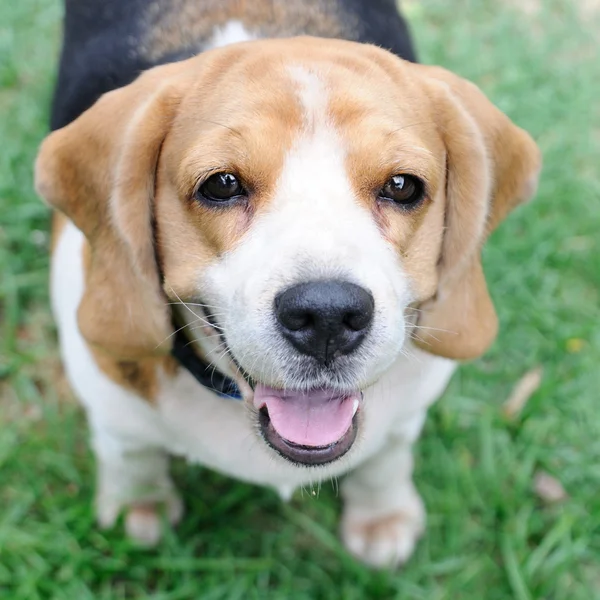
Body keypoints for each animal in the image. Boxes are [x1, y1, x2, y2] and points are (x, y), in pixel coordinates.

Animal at [35, 0, 540, 568]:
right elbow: (131, 454)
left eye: (402, 186)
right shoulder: (111, 401)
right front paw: (137, 509)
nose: (327, 316)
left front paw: (381, 516)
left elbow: (387, 455)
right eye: (222, 184)